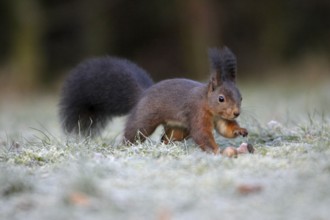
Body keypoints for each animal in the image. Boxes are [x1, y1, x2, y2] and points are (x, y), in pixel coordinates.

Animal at [58, 46, 248, 153]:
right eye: (221, 98)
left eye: (241, 97)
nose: (236, 113)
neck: (207, 103)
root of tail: (143, 94)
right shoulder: (197, 113)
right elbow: (202, 134)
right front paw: (216, 150)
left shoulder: (220, 118)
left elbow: (225, 129)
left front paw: (240, 131)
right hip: (144, 119)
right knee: (134, 132)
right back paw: (126, 146)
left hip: (178, 128)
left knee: (167, 137)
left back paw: (166, 145)